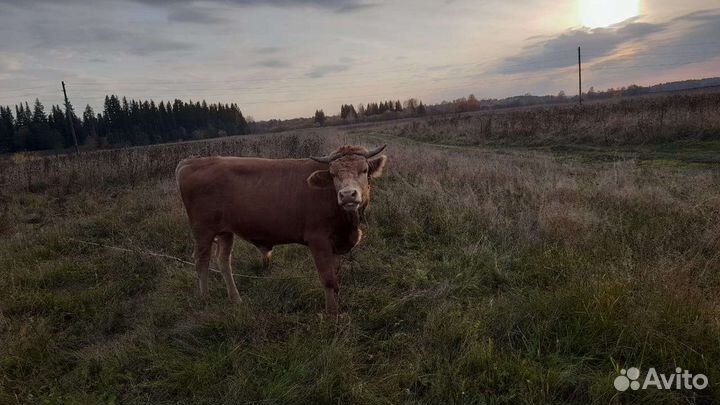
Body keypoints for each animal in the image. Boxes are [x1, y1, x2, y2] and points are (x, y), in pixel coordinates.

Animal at [176, 144, 388, 314]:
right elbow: (328, 279)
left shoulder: (335, 243)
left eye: (364, 170)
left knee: (223, 262)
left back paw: (236, 300)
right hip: (203, 231)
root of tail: (191, 161)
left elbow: (336, 279)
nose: (348, 195)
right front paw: (332, 315)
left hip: (225, 231)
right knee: (201, 262)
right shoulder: (318, 241)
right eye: (333, 174)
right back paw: (204, 299)